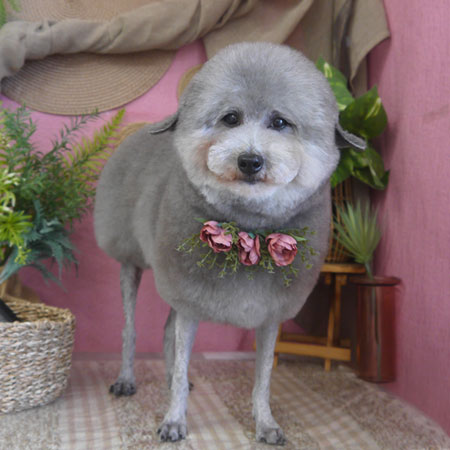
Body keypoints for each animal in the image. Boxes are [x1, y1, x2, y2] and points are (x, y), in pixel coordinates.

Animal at [94, 42, 363, 445]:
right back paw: (126, 379)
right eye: (230, 118)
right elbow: (177, 362)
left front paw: (265, 423)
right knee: (131, 329)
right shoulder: (188, 300)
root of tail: (137, 134)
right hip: (133, 263)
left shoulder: (268, 317)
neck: (249, 230)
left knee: (166, 332)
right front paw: (174, 421)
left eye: (280, 122)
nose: (250, 160)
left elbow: (262, 380)